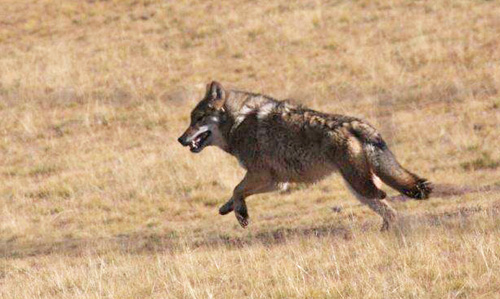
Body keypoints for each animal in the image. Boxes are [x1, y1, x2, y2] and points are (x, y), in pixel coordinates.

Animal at [178, 81, 432, 231]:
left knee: (386, 199)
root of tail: (355, 124)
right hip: (359, 190)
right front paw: (228, 208)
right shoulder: (276, 182)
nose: (180, 139)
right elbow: (235, 193)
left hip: (360, 186)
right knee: (390, 211)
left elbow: (237, 189)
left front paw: (242, 215)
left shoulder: (262, 176)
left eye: (198, 119)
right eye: (192, 119)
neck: (237, 122)